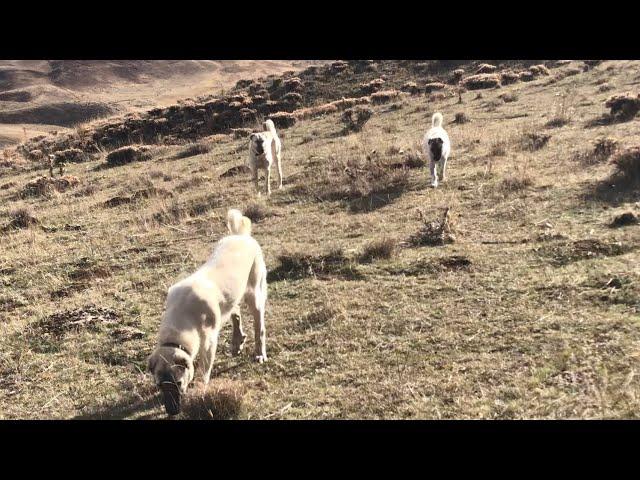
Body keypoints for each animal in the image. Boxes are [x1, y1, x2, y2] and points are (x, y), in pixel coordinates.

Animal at [148, 210, 268, 416]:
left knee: (259, 327)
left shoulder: (209, 341)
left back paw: (259, 353)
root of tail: (241, 236)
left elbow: (204, 369)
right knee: (236, 312)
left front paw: (201, 388)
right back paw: (237, 341)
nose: (172, 412)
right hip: (229, 298)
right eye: (159, 385)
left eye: (178, 383)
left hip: (254, 295)